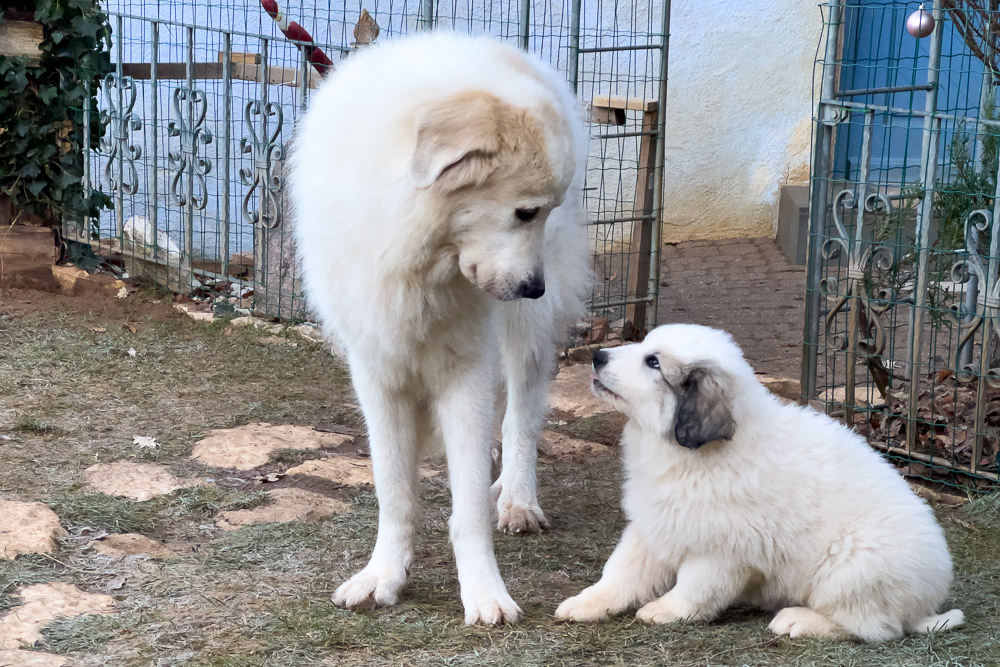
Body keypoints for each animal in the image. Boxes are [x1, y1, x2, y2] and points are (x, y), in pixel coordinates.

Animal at [290, 32, 588, 628]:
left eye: (544, 213)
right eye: (525, 212)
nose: (535, 286)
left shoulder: (465, 372)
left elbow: (467, 505)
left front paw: (485, 594)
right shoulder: (376, 371)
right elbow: (393, 491)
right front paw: (384, 575)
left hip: (523, 334)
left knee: (522, 413)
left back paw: (517, 497)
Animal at [560, 326, 964, 644]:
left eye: (653, 362)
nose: (597, 356)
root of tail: (924, 606)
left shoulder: (723, 551)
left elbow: (695, 587)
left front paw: (664, 610)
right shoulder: (653, 525)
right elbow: (621, 571)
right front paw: (586, 602)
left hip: (852, 567)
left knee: (877, 628)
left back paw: (799, 621)